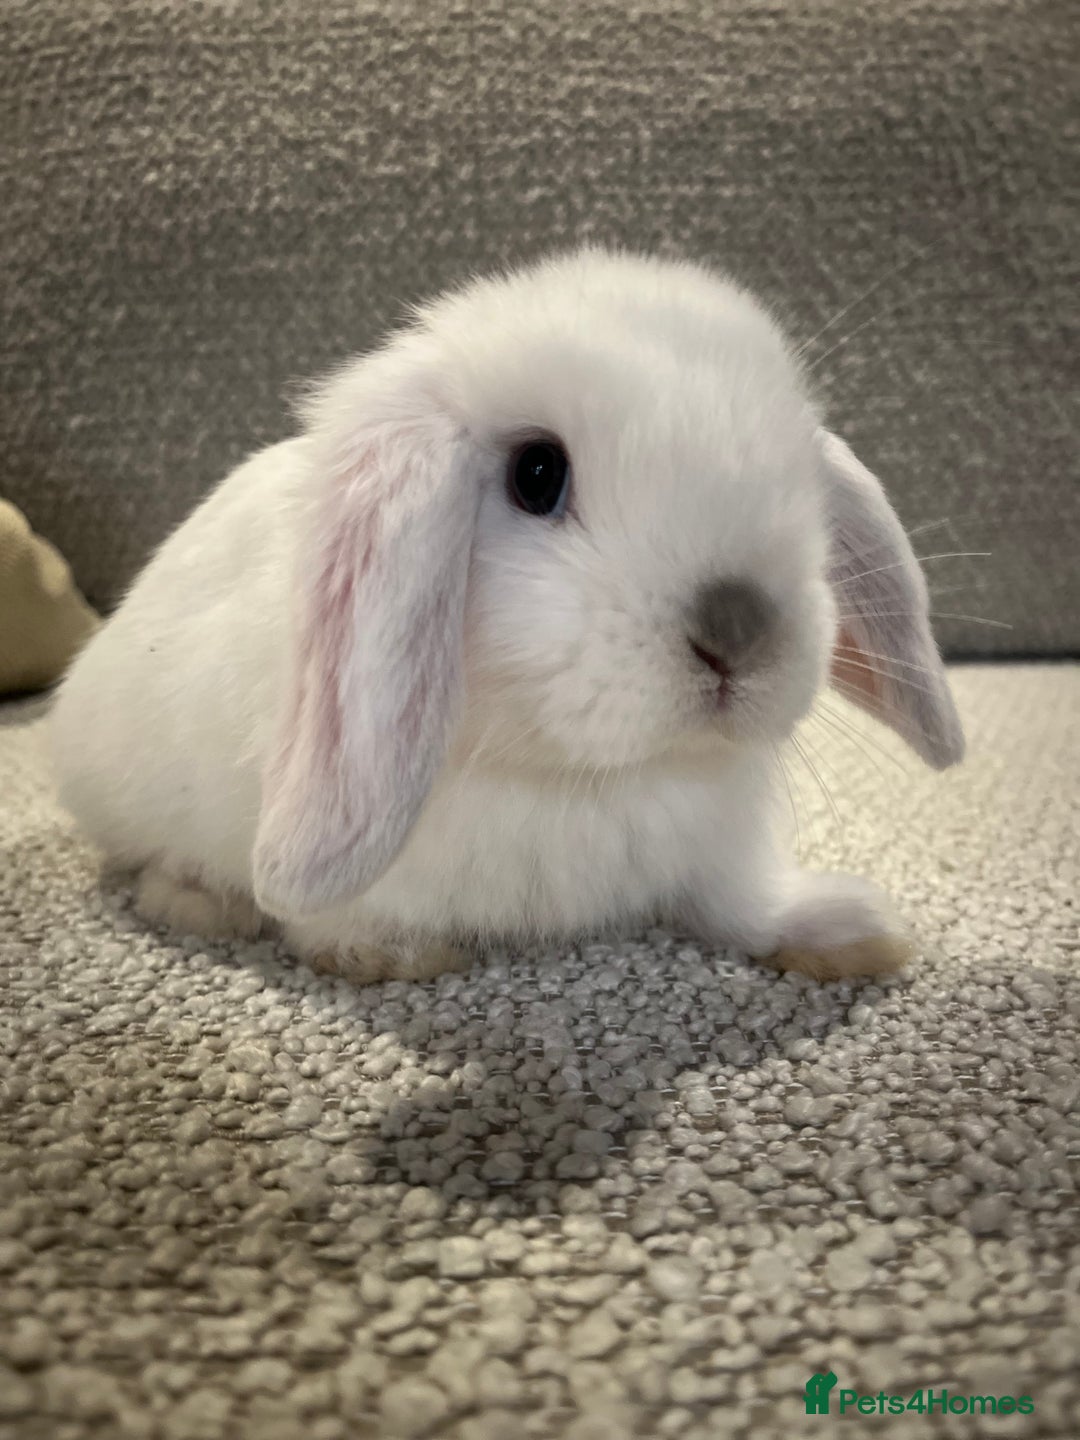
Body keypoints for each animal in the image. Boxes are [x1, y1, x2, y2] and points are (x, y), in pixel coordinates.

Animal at [50, 247, 964, 984]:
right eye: (537, 474)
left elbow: (739, 903)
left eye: (801, 482)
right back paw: (200, 900)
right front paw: (387, 955)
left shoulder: (718, 850)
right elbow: (327, 917)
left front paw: (852, 934)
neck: (587, 779)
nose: (739, 631)